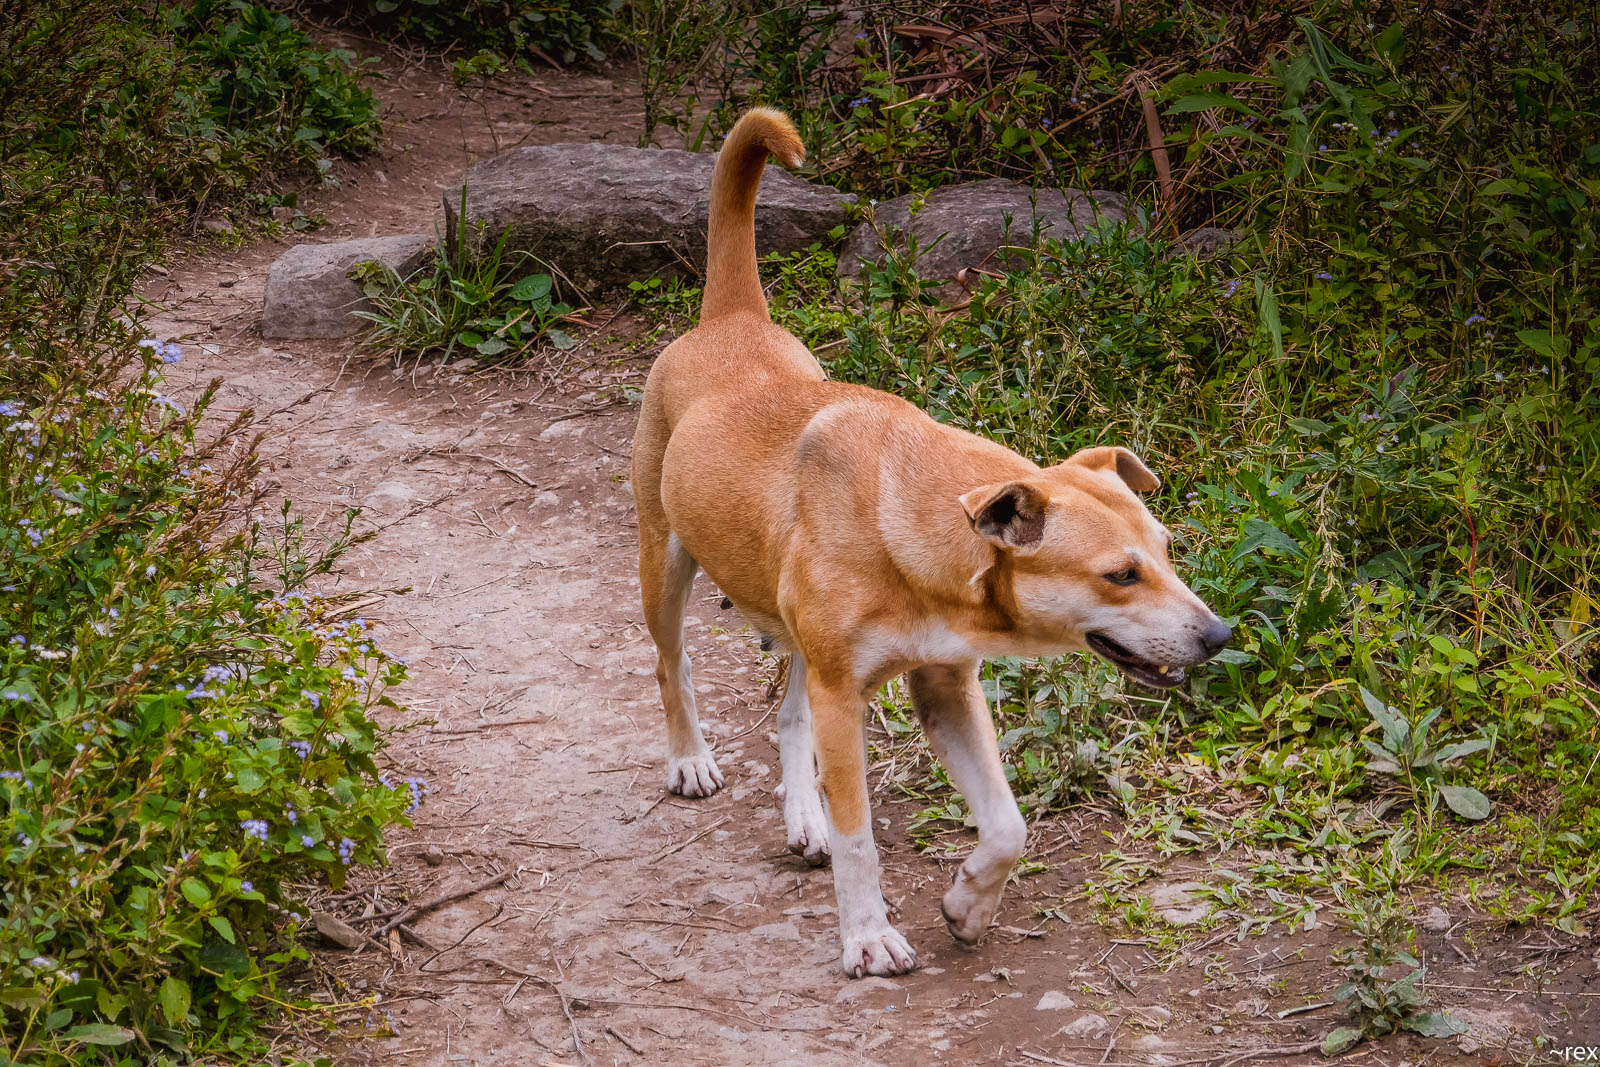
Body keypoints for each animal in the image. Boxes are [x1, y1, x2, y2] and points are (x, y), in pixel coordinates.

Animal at [630, 106, 1228, 979]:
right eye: (1120, 574)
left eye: (1169, 548)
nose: (1219, 634)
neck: (908, 522)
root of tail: (731, 318)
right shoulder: (847, 694)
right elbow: (860, 838)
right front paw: (867, 934)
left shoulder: (946, 683)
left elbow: (1008, 823)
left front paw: (969, 901)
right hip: (664, 560)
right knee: (673, 666)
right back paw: (689, 758)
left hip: (793, 623)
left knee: (788, 714)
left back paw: (802, 812)